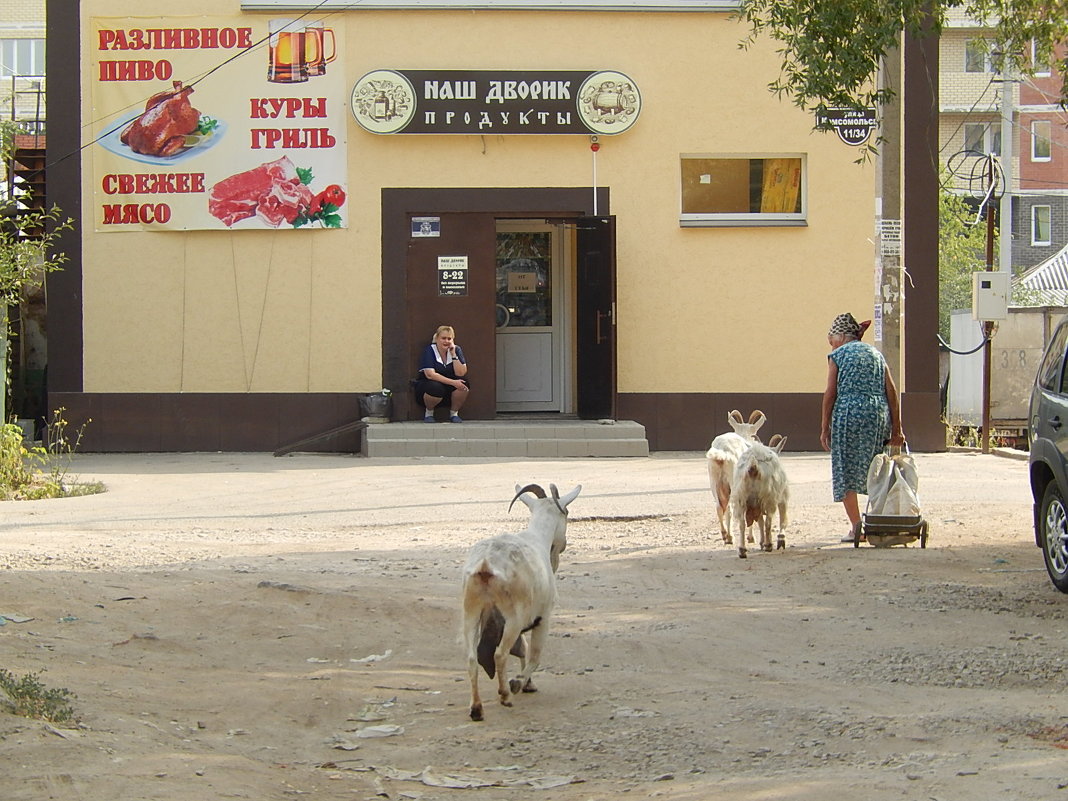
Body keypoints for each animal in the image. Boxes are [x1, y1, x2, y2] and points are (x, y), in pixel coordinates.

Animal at [457, 487, 580, 726]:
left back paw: (476, 709)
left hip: (470, 613)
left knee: (471, 659)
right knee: (499, 655)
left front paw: (529, 684)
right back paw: (505, 695)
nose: (563, 545)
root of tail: (485, 565)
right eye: (567, 513)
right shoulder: (542, 617)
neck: (537, 537)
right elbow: (534, 655)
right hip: (512, 618)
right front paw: (519, 682)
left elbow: (523, 649)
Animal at [704, 410, 764, 551]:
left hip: (714, 480)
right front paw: (751, 537)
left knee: (719, 507)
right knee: (730, 508)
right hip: (733, 481)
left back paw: (724, 535)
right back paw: (731, 537)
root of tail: (722, 452)